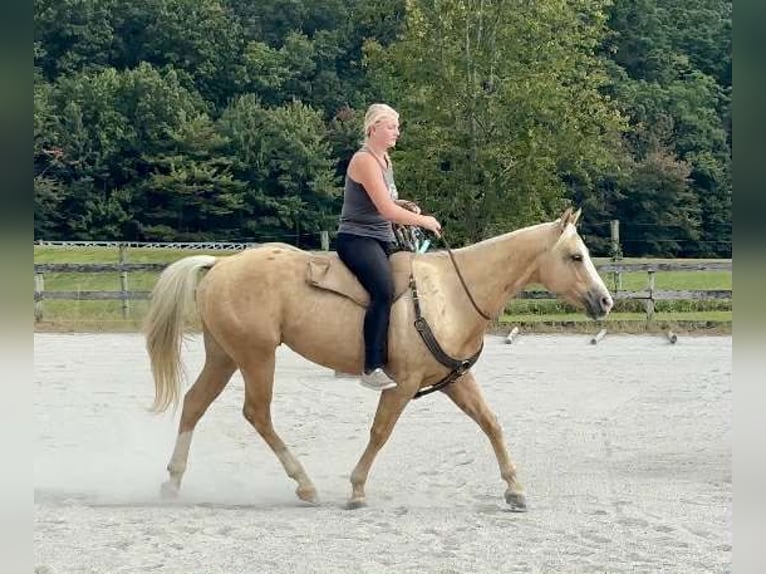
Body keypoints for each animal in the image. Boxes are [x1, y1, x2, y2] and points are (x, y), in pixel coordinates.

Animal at [144, 207, 613, 511]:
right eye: (576, 256)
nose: (605, 300)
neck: (452, 294)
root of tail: (220, 265)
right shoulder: (402, 383)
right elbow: (380, 432)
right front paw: (356, 490)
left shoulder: (455, 380)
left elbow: (491, 423)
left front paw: (514, 489)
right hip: (256, 357)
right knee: (257, 413)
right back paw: (305, 485)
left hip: (224, 356)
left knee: (195, 404)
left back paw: (172, 481)